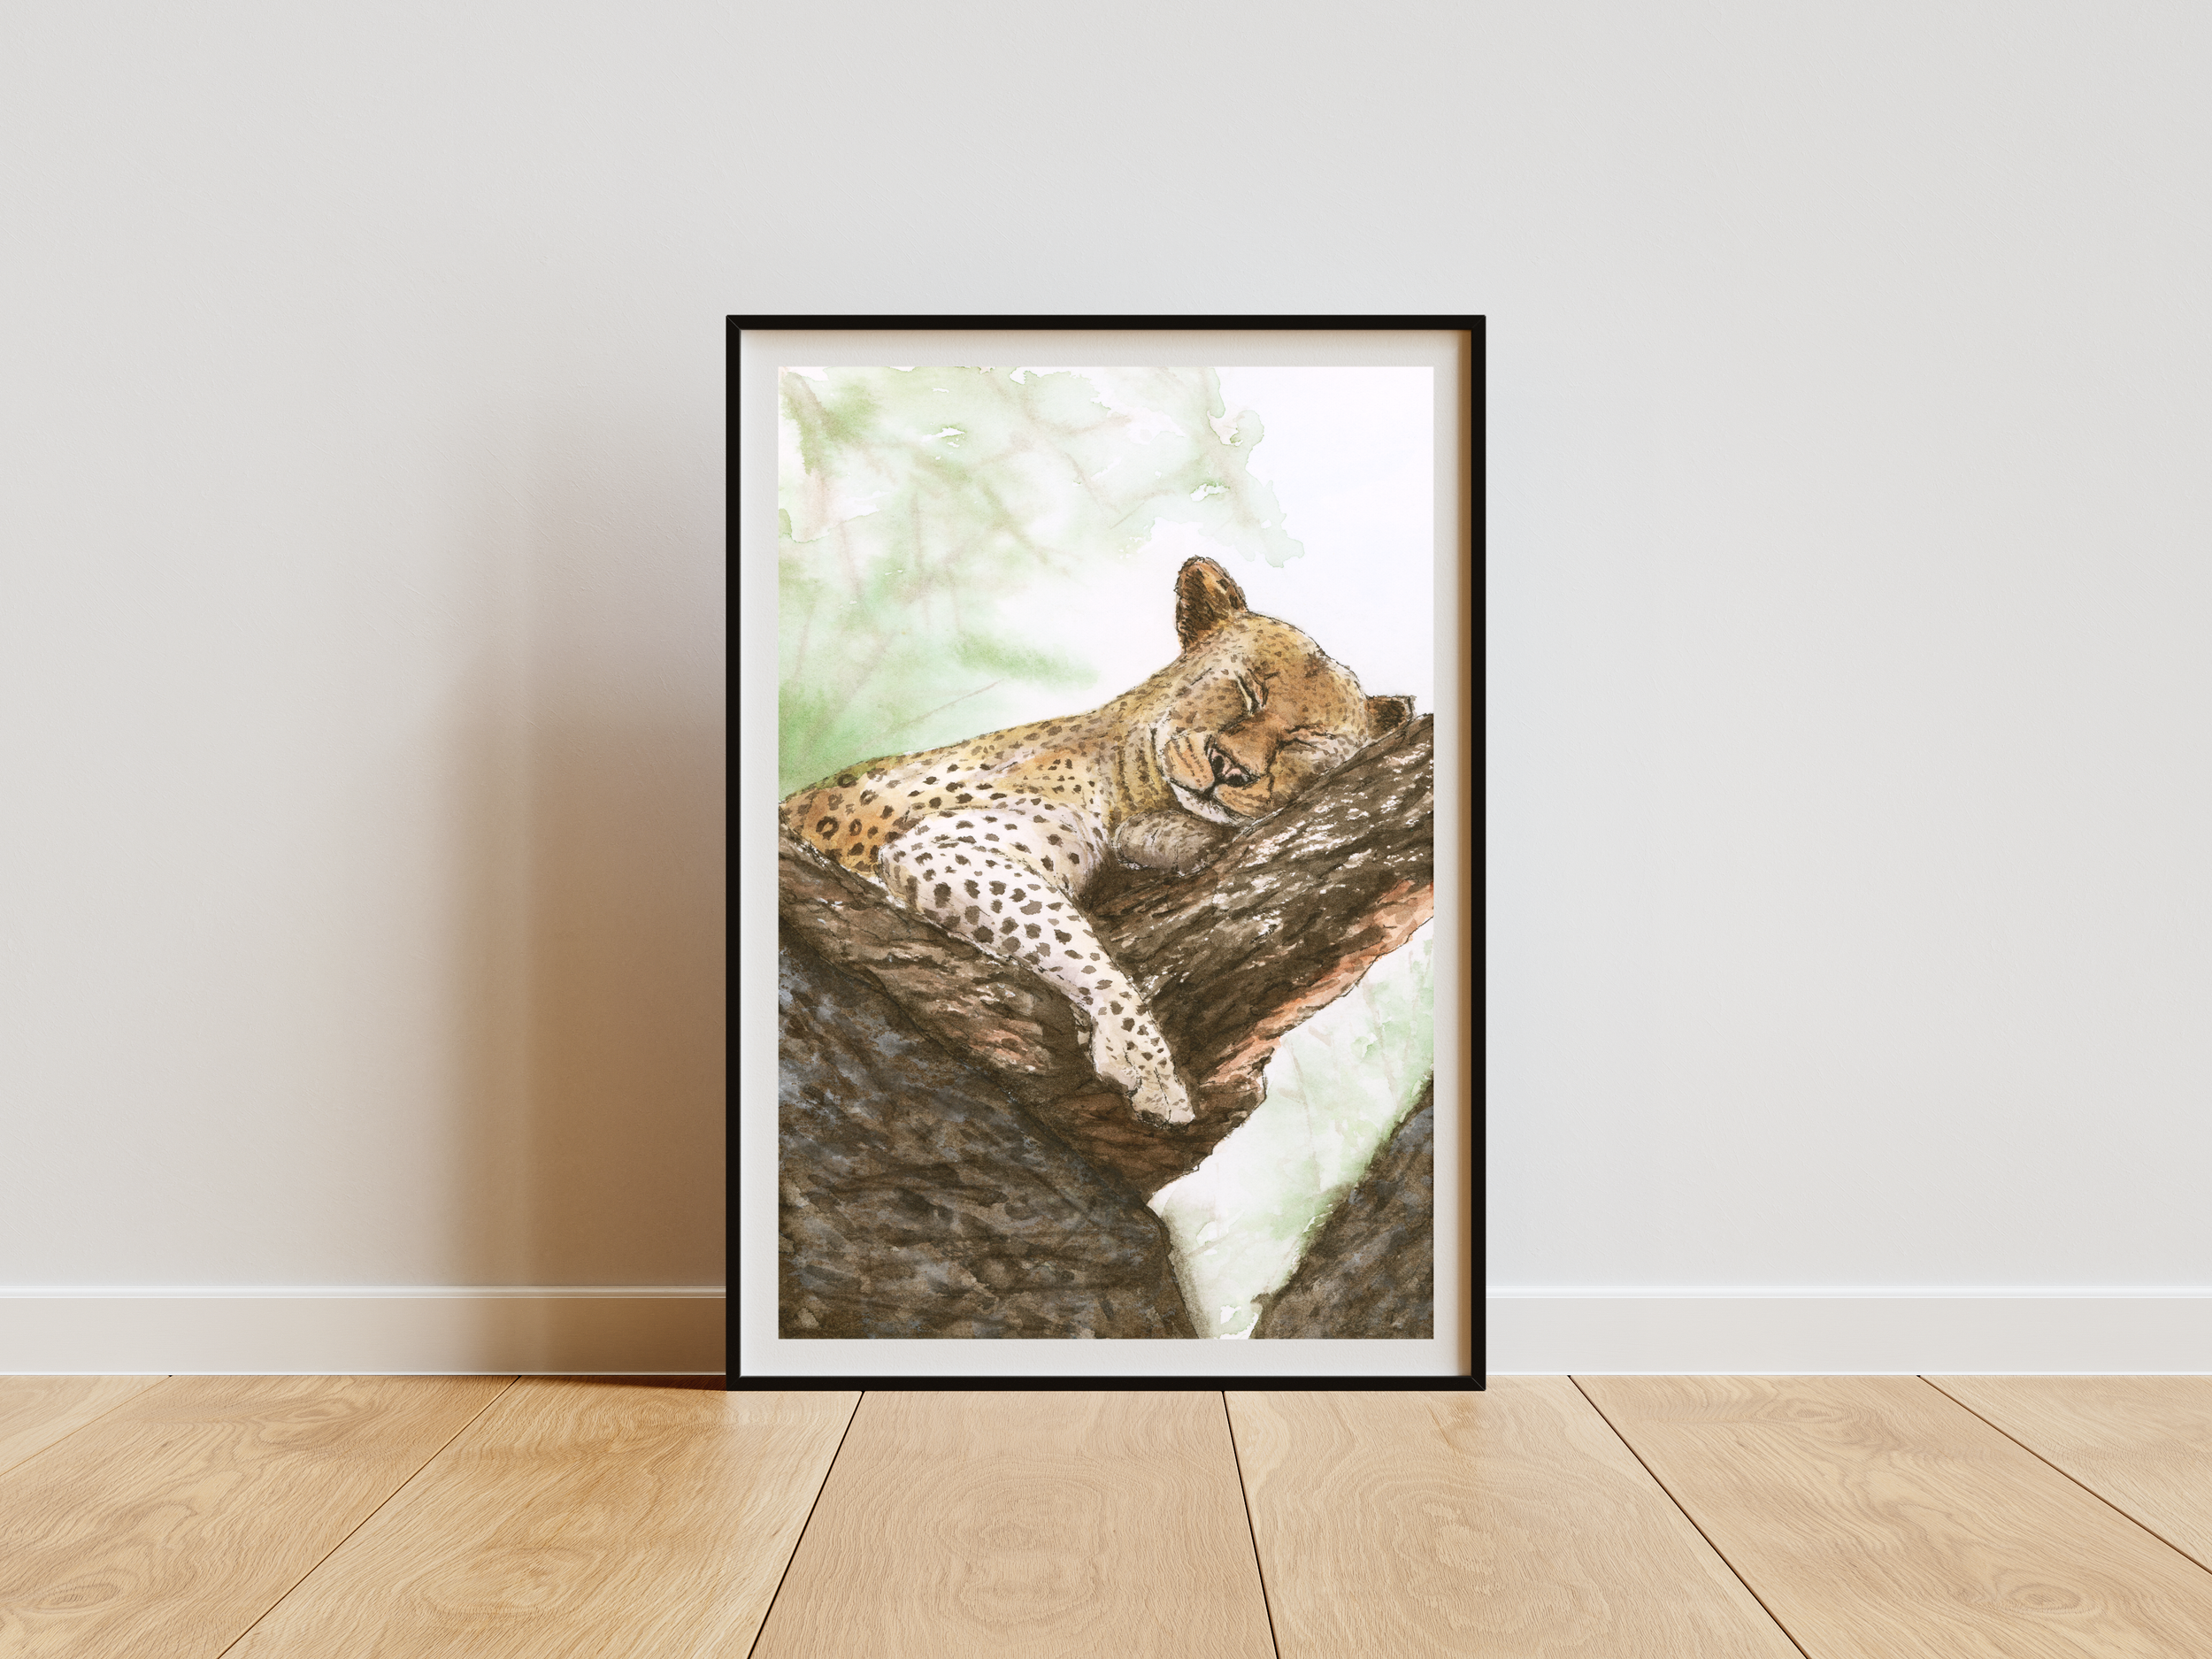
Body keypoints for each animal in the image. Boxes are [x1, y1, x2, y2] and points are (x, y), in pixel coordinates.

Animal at [781, 556, 1386, 1126]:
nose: (1231, 768)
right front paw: (1150, 1068)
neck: (1134, 783)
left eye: (1305, 740)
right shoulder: (946, 846)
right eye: (1245, 690)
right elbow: (1074, 944)